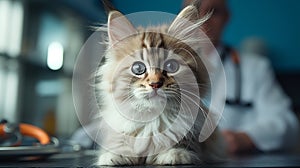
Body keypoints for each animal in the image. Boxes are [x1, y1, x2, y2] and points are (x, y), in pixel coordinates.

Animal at [95, 4, 225, 166]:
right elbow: (119, 142)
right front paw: (115, 154)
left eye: (171, 66)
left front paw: (175, 153)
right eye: (138, 68)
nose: (155, 84)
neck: (153, 120)